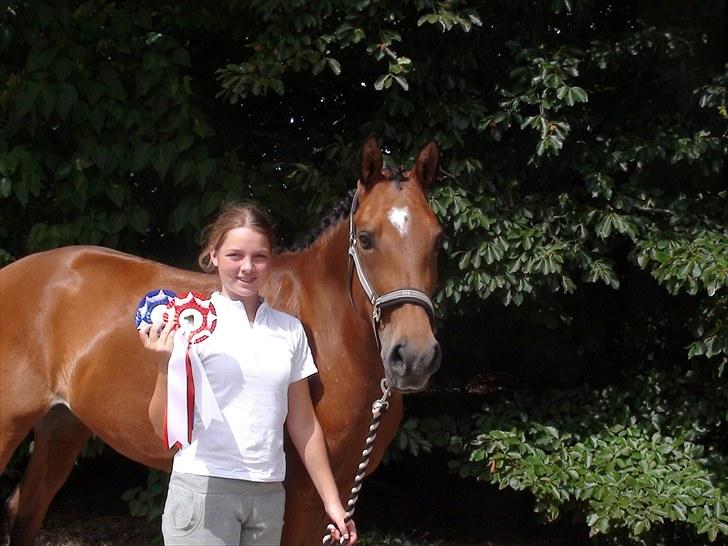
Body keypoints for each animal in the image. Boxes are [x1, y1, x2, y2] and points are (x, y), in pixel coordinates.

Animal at [0, 137, 443, 545]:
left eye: (438, 240)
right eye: (365, 238)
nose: (415, 357)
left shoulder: (337, 493)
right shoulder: (299, 498)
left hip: (61, 428)